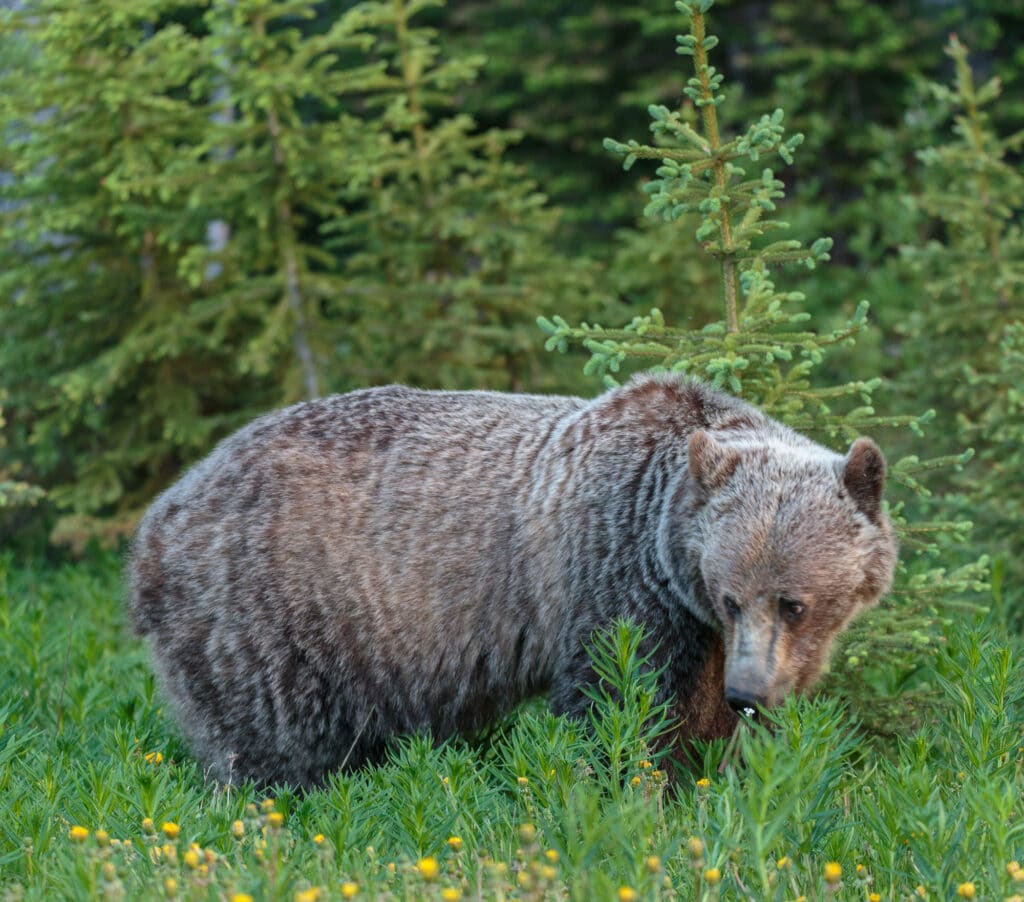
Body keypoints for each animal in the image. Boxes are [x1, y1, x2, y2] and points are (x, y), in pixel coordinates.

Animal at [125, 372, 897, 782]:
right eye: (733, 596)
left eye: (792, 603)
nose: (750, 692)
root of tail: (158, 517)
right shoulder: (615, 584)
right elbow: (617, 704)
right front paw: (630, 791)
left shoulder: (696, 633)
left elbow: (700, 729)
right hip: (275, 609)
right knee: (272, 736)